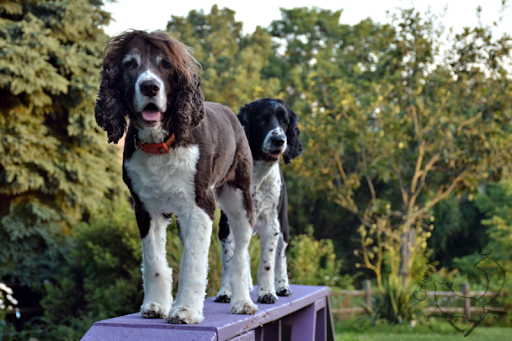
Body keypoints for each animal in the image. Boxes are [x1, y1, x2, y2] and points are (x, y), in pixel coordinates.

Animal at [93, 31, 256, 324]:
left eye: (166, 64)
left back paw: (242, 302)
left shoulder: (200, 204)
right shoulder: (145, 207)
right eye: (129, 64)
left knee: (240, 253)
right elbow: (154, 261)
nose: (149, 87)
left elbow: (193, 261)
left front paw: (185, 310)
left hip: (240, 197)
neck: (161, 144)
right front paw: (156, 305)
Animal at [214, 97, 302, 302]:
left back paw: (282, 287)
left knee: (280, 257)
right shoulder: (227, 225)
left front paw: (267, 293)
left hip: (284, 227)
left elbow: (267, 264)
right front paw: (226, 292)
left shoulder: (272, 225)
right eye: (262, 120)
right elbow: (229, 261)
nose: (279, 140)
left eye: (284, 121)